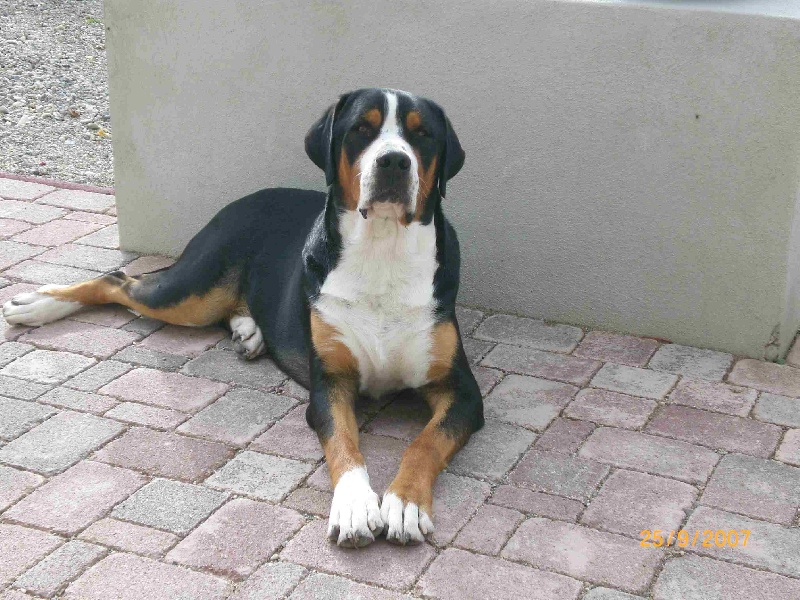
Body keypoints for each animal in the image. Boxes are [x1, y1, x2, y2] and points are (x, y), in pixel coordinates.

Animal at [3, 89, 484, 548]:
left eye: (422, 135)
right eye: (361, 129)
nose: (394, 161)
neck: (382, 251)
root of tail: (245, 199)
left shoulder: (460, 391)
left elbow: (424, 443)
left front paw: (404, 503)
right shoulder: (330, 383)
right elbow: (345, 446)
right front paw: (353, 506)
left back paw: (248, 331)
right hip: (190, 293)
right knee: (119, 279)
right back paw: (37, 305)